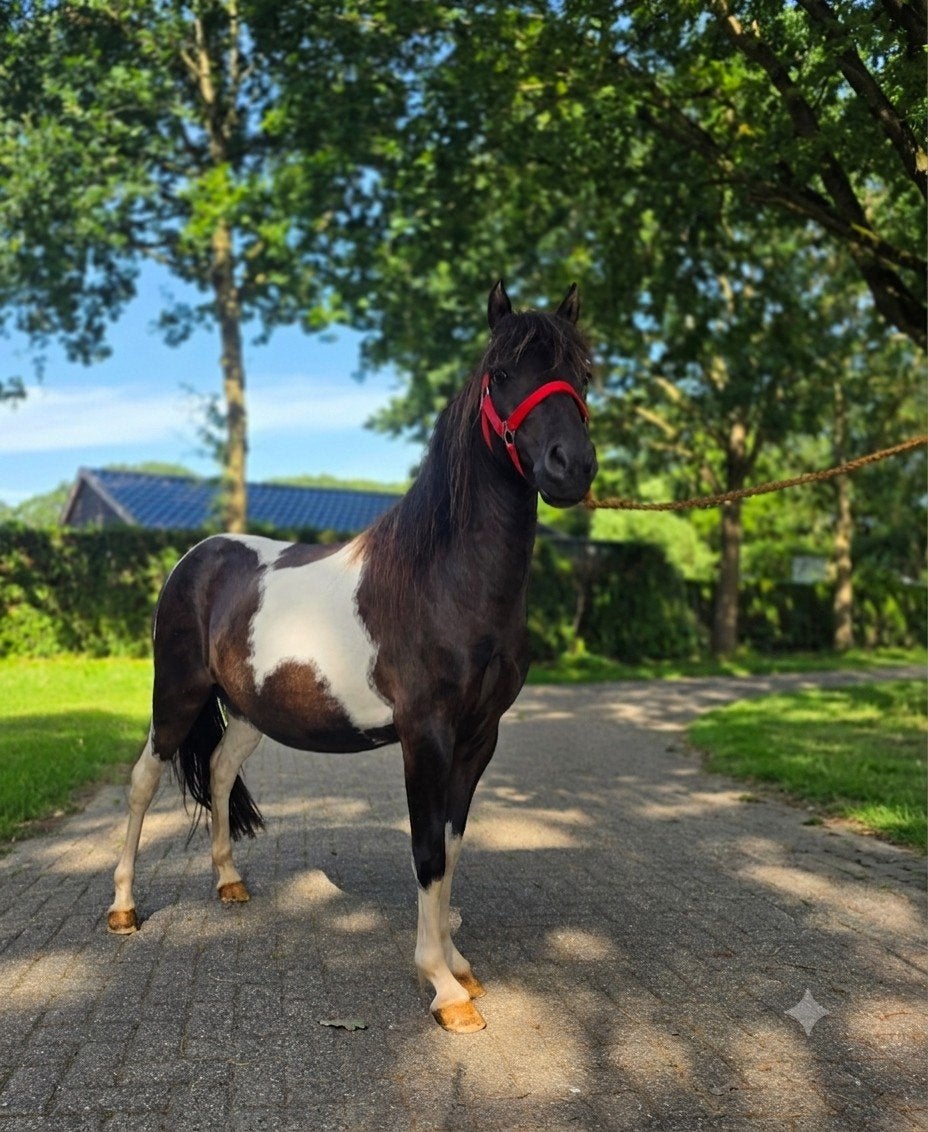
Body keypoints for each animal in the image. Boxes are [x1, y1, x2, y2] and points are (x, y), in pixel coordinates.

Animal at [107, 280, 598, 1033]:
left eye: (581, 371)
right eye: (501, 373)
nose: (569, 467)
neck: (443, 580)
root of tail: (197, 558)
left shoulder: (478, 737)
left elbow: (452, 844)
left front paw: (458, 964)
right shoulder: (426, 735)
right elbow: (427, 850)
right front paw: (443, 988)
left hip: (247, 712)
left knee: (218, 771)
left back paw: (229, 882)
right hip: (177, 694)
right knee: (142, 781)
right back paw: (124, 909)